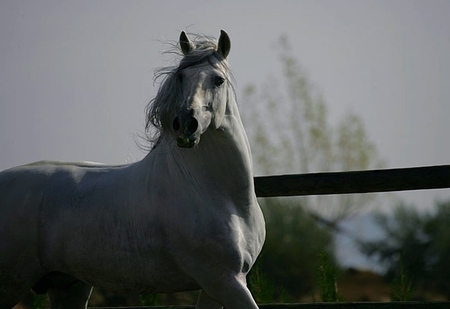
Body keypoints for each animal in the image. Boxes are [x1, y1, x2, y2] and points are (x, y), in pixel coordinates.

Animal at [0, 29, 266, 308]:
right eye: (181, 77)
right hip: (11, 283)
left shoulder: (214, 287)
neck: (217, 194)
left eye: (218, 80)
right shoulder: (223, 280)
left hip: (68, 285)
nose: (185, 124)